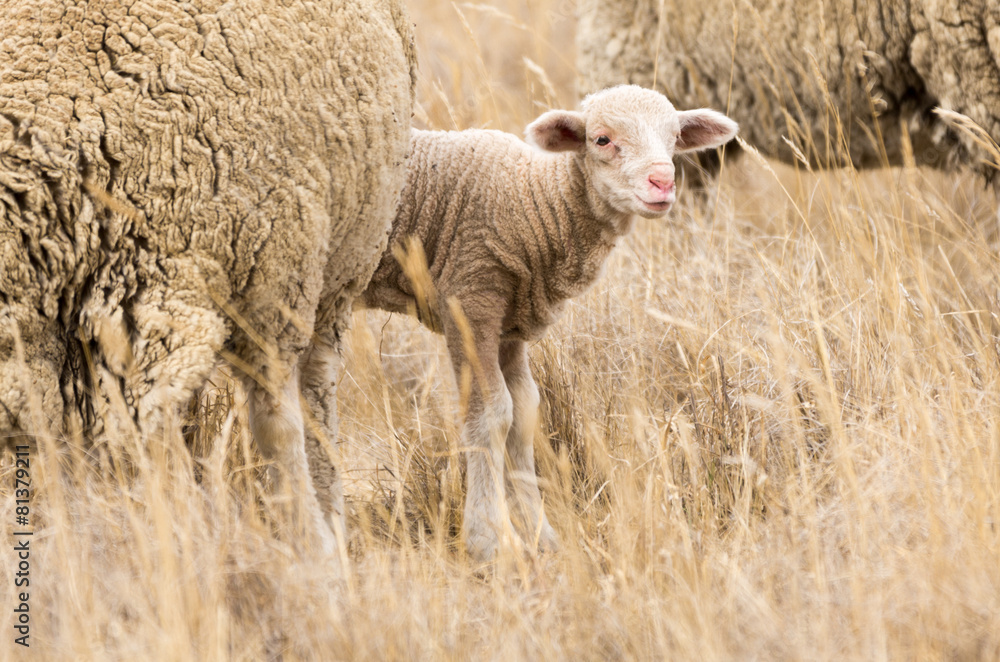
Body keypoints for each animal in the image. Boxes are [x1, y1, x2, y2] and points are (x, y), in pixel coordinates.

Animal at [0, 0, 416, 562]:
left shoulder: (262, 299)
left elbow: (274, 427)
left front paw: (310, 548)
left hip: (338, 268)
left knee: (315, 393)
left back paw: (328, 513)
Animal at [359, 85, 738, 562]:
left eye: (673, 139)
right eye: (601, 140)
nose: (662, 184)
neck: (533, 199)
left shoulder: (510, 323)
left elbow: (523, 414)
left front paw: (539, 534)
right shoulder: (471, 298)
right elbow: (491, 416)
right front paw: (489, 540)